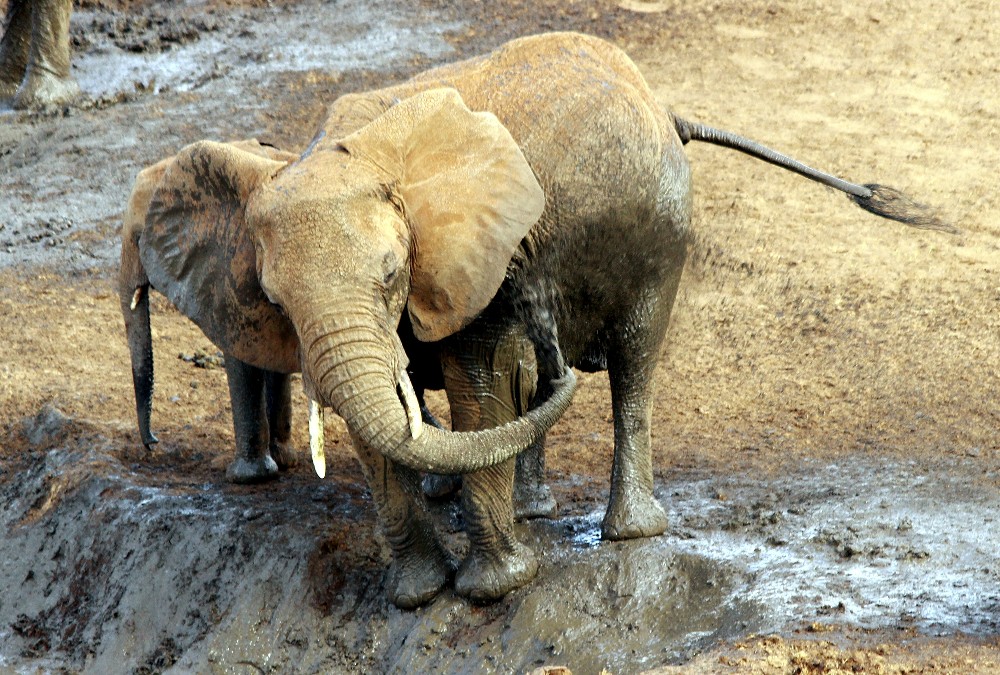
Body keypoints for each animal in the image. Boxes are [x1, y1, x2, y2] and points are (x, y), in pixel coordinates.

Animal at [125, 31, 944, 608]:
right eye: (274, 298)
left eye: (391, 274)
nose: (535, 287)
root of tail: (662, 103)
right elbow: (381, 420)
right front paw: (417, 596)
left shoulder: (478, 261)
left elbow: (479, 381)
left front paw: (492, 591)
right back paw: (535, 506)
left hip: (663, 232)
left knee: (632, 363)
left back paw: (628, 530)